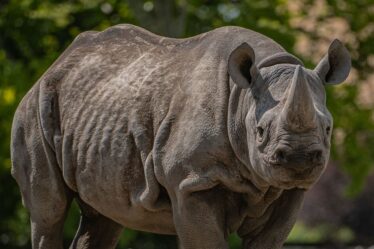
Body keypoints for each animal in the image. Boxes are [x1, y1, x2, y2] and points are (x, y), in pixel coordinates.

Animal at [10, 23, 350, 249]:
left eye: (328, 129)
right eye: (261, 131)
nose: (299, 158)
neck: (242, 99)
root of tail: (54, 65)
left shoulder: (291, 191)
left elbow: (269, 238)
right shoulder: (193, 180)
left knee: (105, 214)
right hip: (36, 107)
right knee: (49, 212)